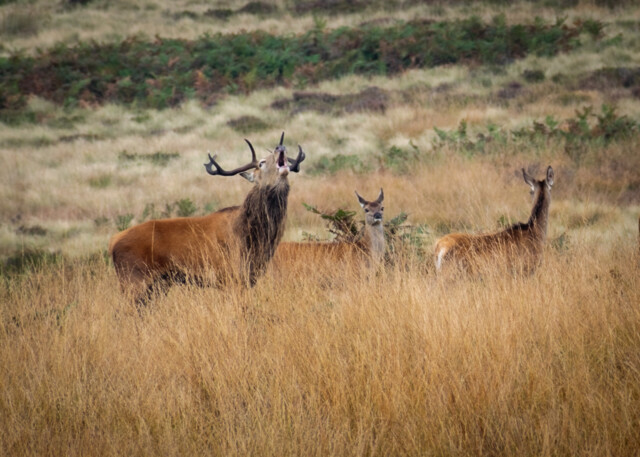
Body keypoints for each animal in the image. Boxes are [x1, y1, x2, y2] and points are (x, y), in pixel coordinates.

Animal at [108, 133, 305, 303]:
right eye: (262, 162)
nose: (280, 147)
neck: (252, 237)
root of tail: (113, 242)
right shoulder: (230, 275)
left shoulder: (250, 277)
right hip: (133, 278)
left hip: (157, 285)